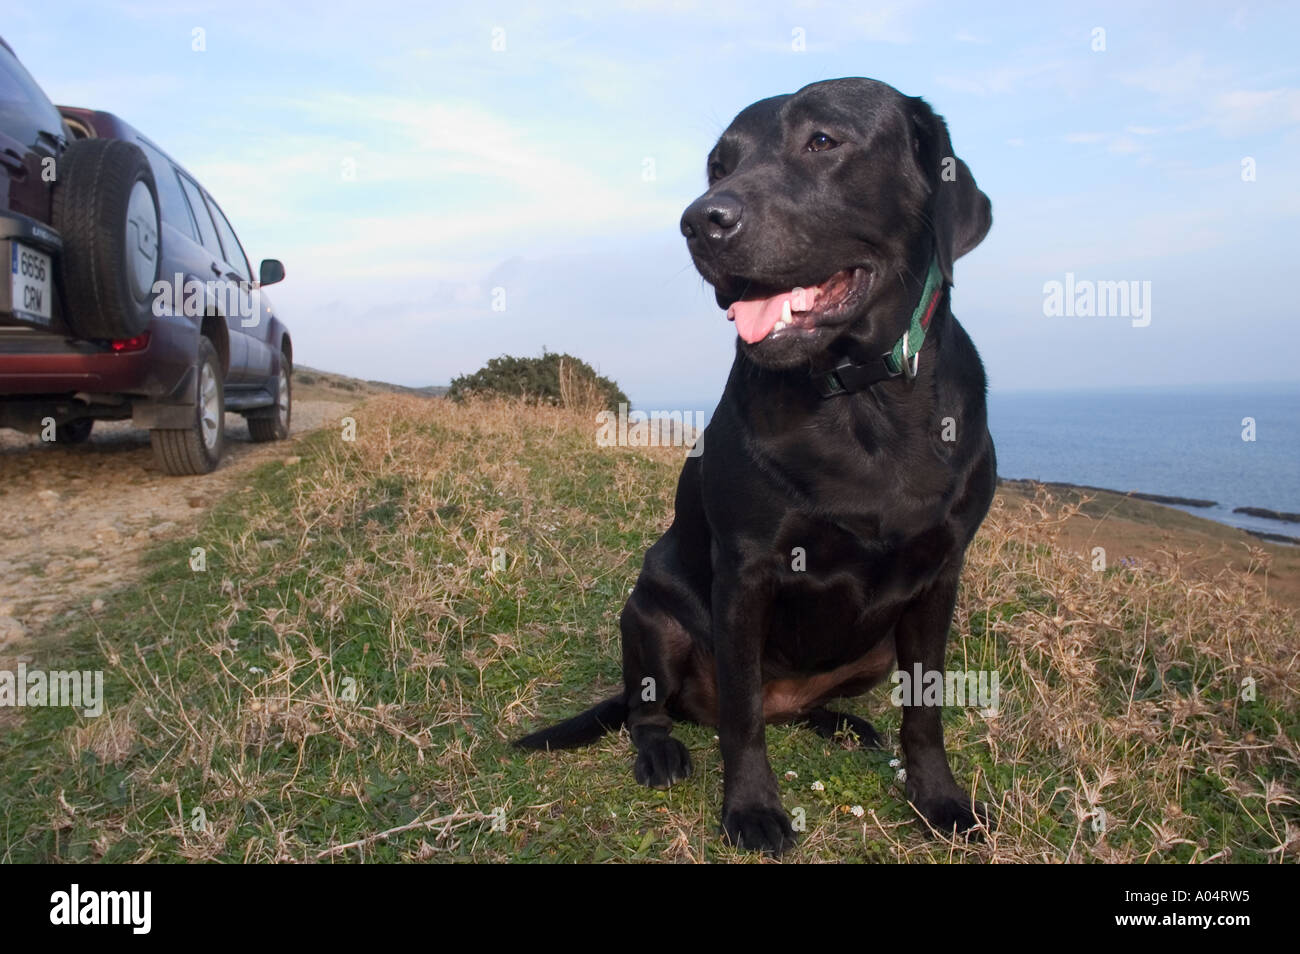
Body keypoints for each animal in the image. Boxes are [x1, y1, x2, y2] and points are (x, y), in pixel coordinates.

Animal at [517, 78, 993, 857]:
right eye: (718, 165)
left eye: (823, 141)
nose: (700, 222)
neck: (857, 394)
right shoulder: (745, 572)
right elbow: (740, 719)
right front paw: (750, 808)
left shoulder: (939, 577)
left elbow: (925, 711)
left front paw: (940, 800)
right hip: (649, 611)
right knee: (656, 708)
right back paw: (661, 751)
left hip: (874, 650)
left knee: (798, 709)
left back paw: (840, 722)